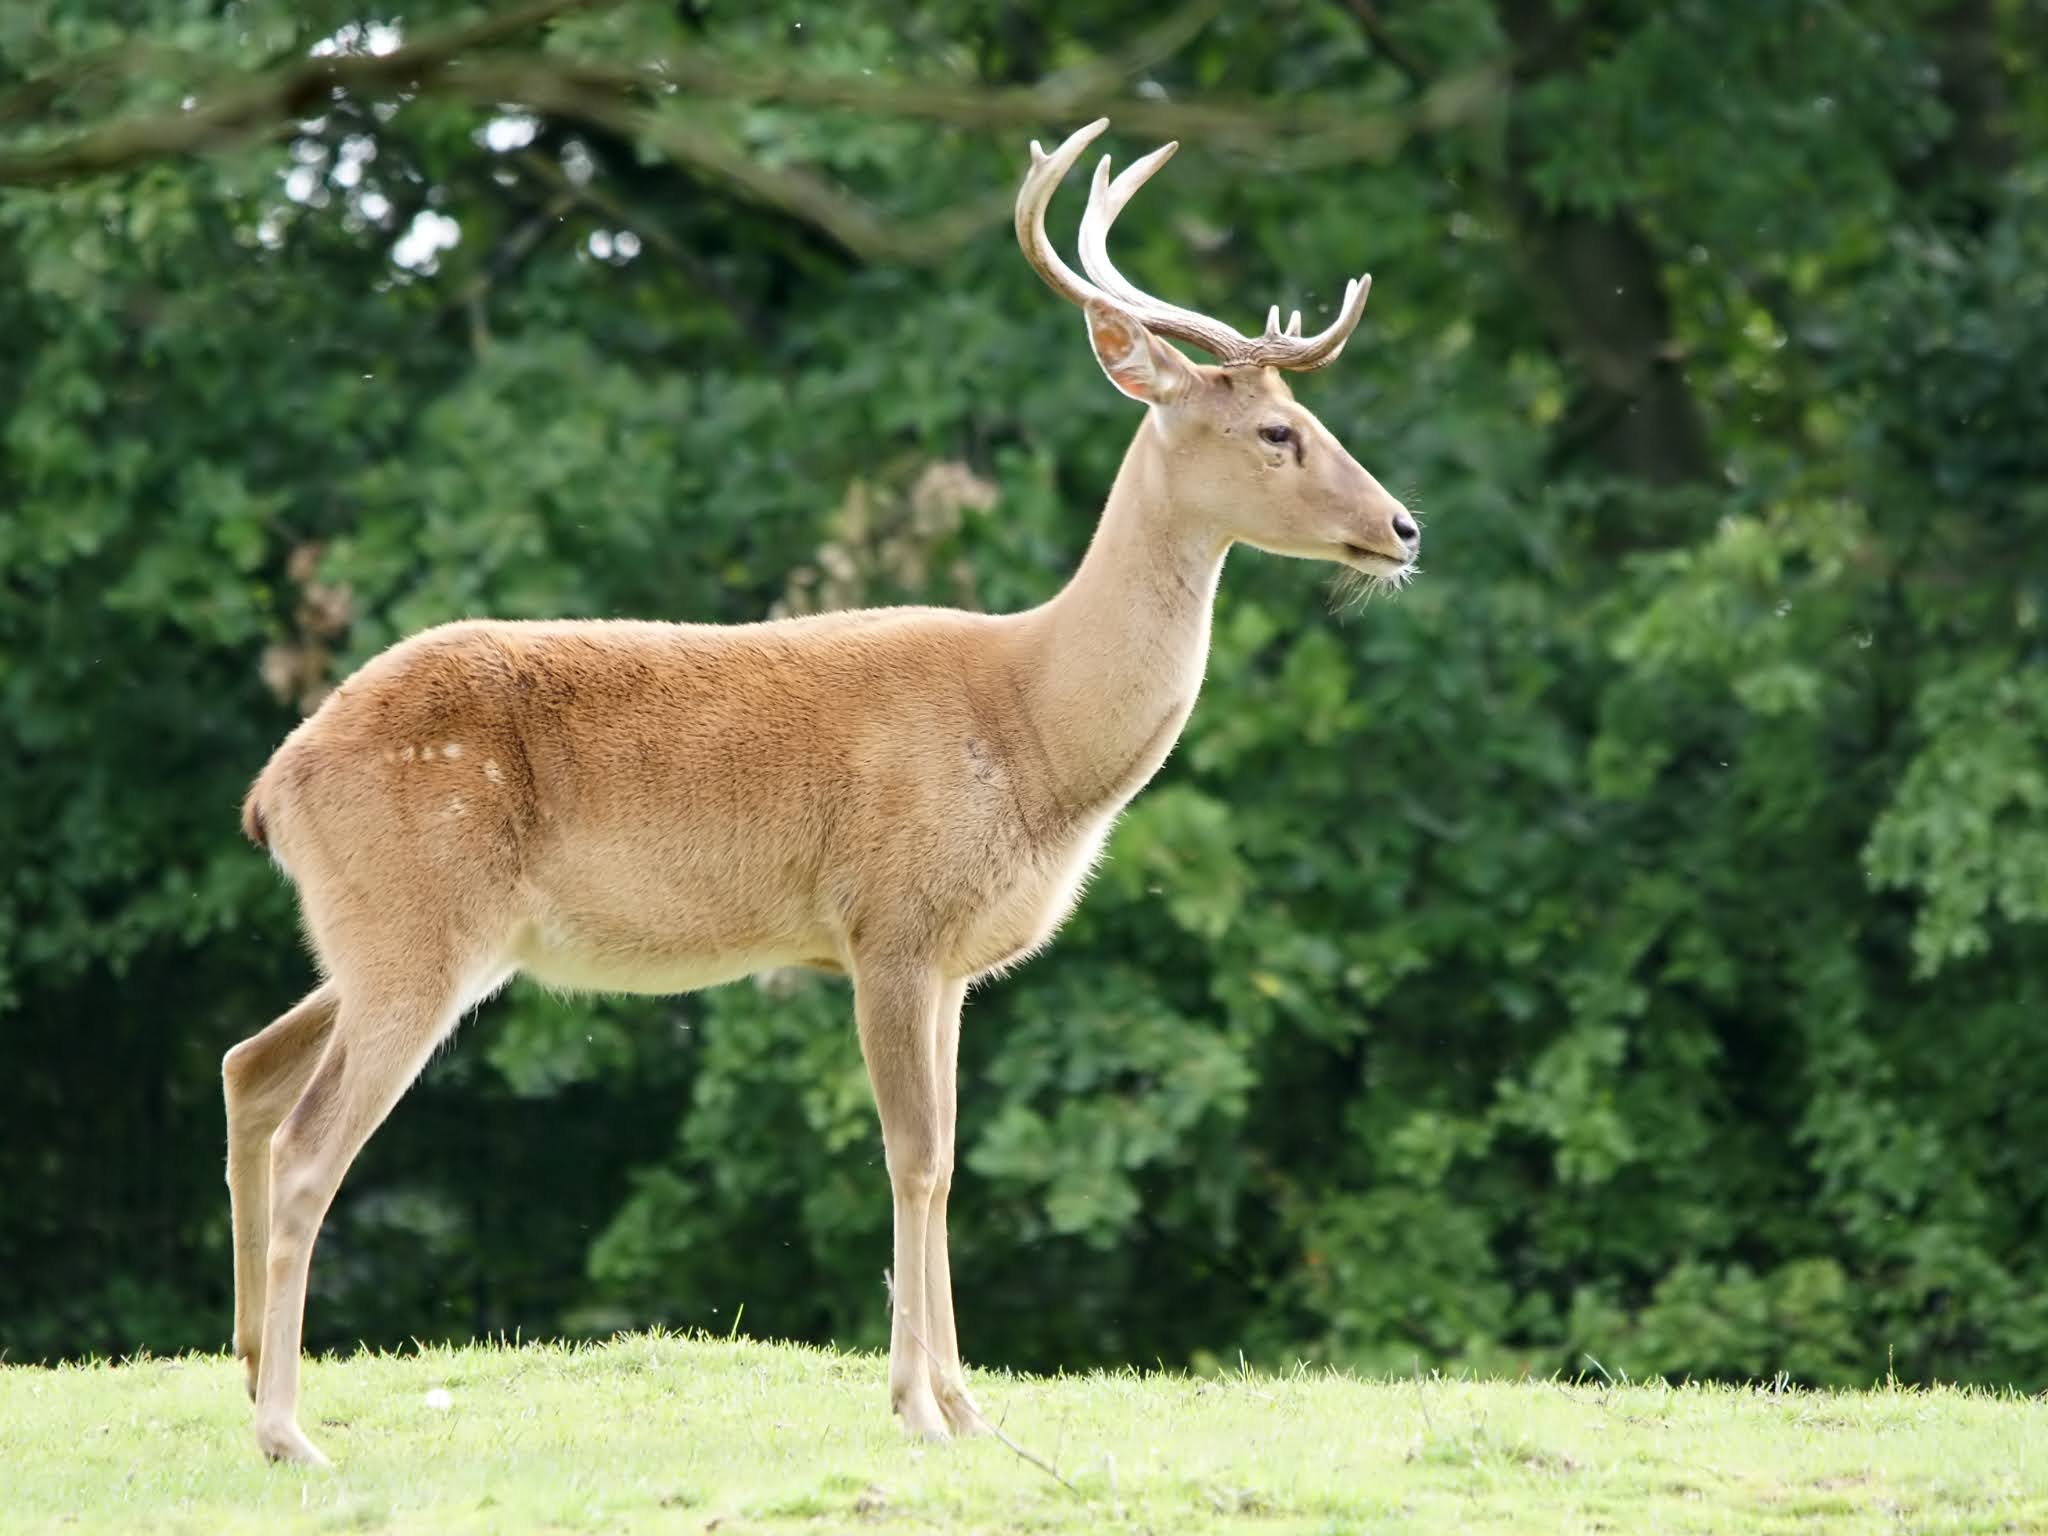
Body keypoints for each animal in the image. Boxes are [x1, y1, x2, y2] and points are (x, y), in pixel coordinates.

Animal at [222, 116, 1419, 1466]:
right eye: (1277, 432)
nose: (1402, 527)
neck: (1033, 732)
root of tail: (275, 785)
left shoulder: (952, 961)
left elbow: (946, 1160)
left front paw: (968, 1405)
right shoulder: (888, 922)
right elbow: (913, 1157)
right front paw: (921, 1410)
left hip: (382, 933)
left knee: (249, 1067)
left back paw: (247, 1368)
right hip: (415, 918)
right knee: (313, 1142)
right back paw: (288, 1432)